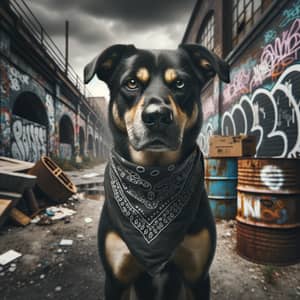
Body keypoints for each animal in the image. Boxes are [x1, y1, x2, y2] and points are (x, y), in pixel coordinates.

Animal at [84, 42, 230, 300]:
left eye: (180, 83)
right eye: (132, 83)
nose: (158, 116)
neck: (154, 172)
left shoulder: (198, 277)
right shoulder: (116, 279)